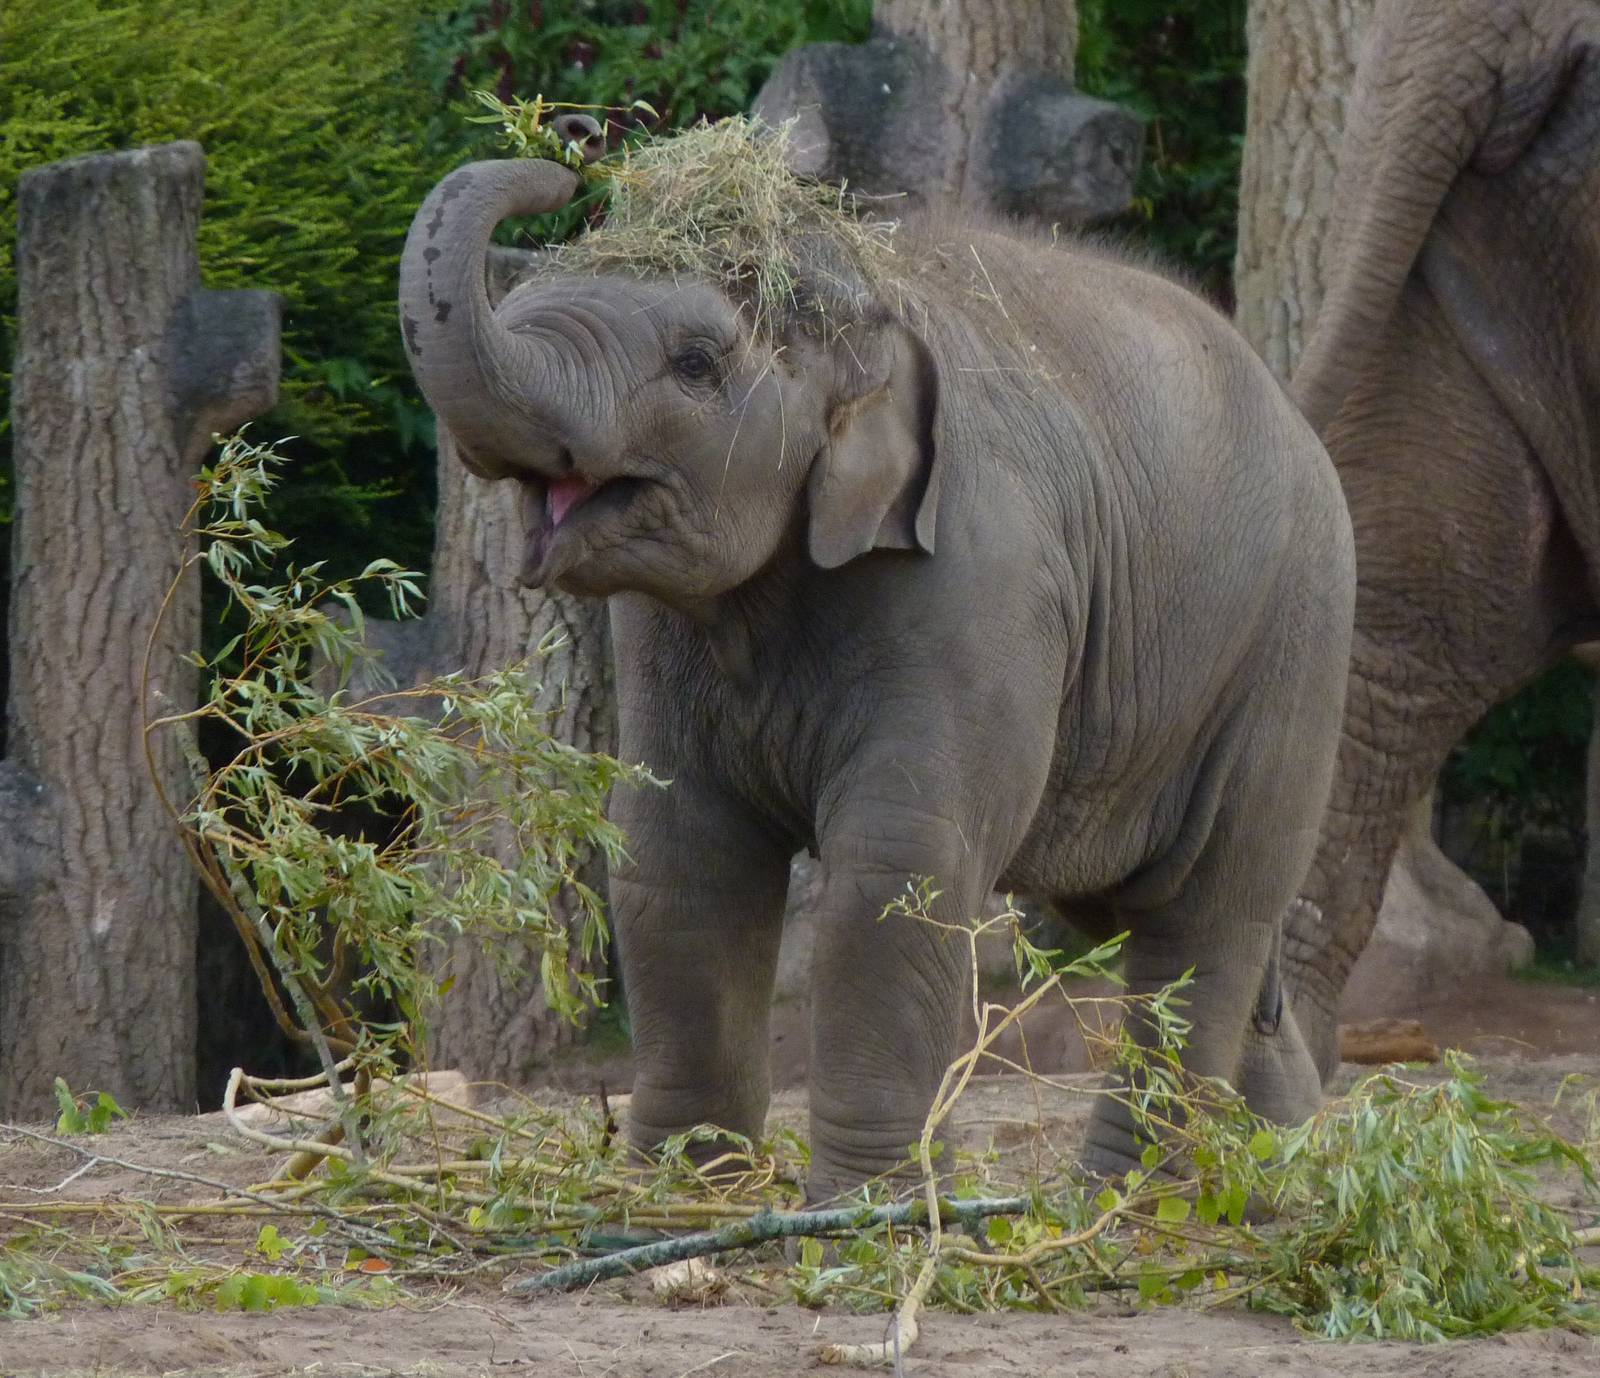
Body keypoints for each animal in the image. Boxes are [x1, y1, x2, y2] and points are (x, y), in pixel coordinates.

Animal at [398, 129, 1355, 1197]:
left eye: (696, 363)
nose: (563, 161)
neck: (863, 287)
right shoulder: (659, 631)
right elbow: (675, 854)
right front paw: (682, 1190)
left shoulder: (984, 569)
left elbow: (899, 863)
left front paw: (864, 1207)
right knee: (1147, 911)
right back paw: (1286, 1180)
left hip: (1293, 644)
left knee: (1207, 917)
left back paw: (1134, 1195)